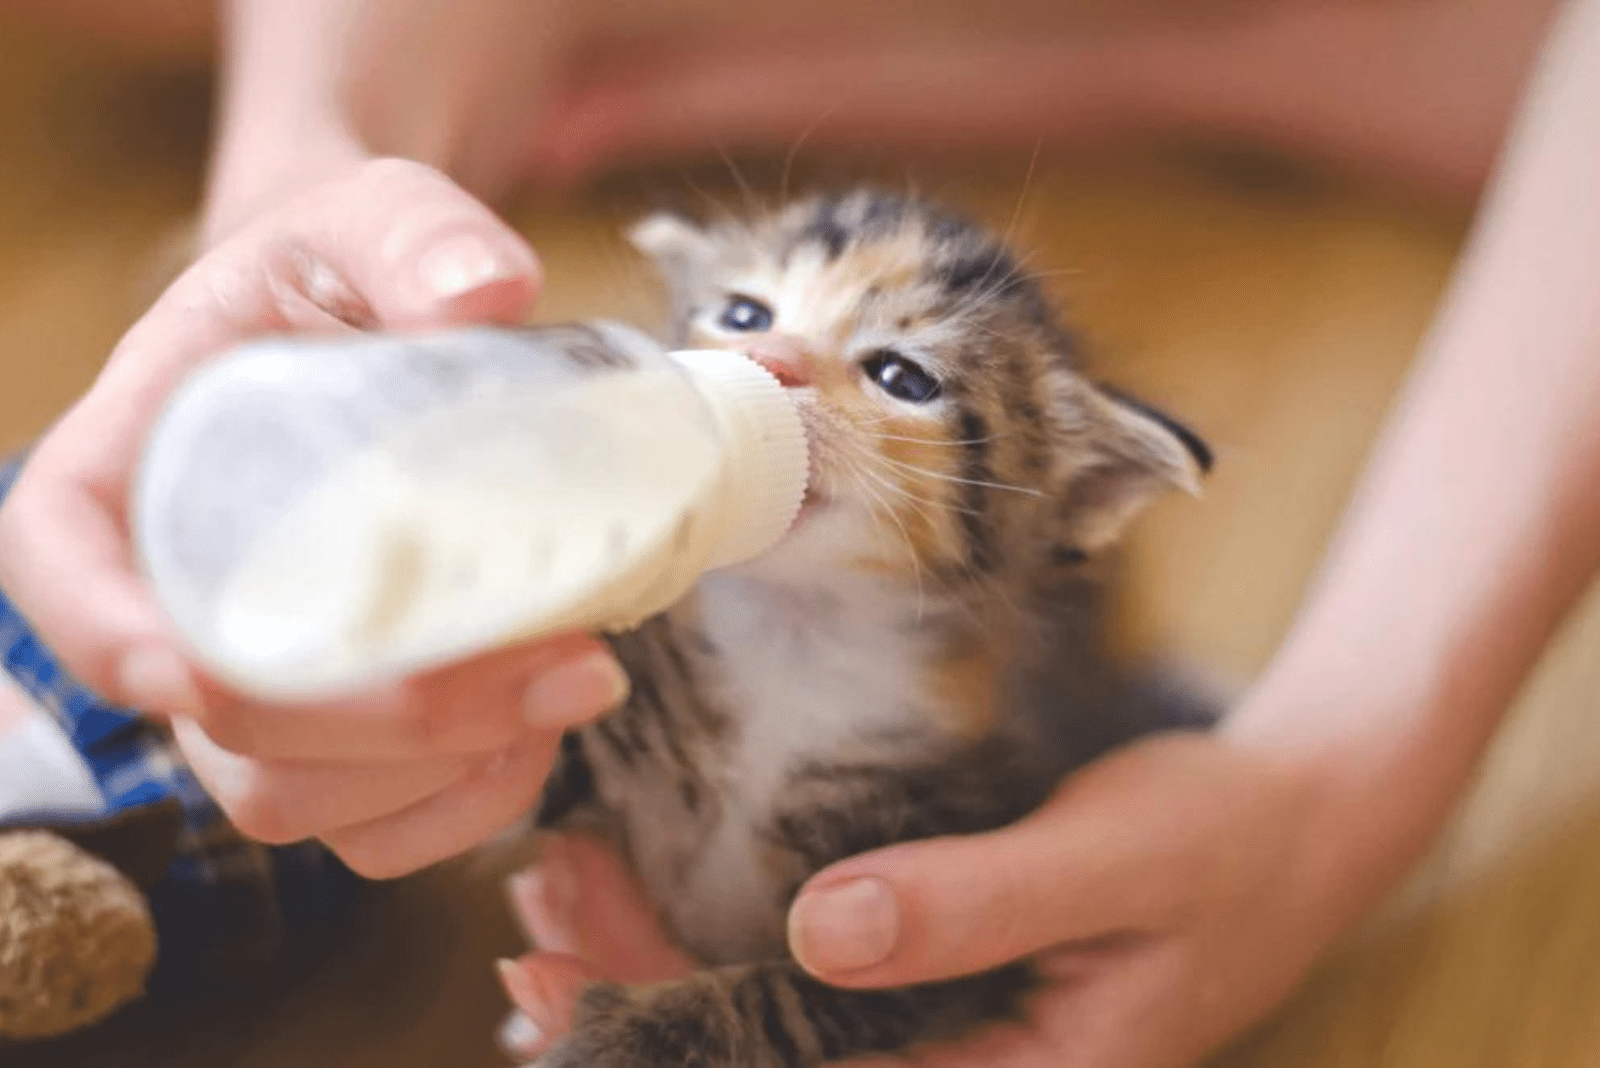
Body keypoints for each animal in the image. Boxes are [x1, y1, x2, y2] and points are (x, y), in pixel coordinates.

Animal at [524, 189, 1209, 1068]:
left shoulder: (946, 920)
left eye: (901, 377)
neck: (792, 632)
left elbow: (792, 999)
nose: (771, 358)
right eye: (744, 314)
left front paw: (626, 1039)